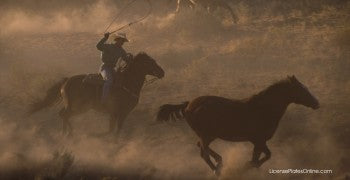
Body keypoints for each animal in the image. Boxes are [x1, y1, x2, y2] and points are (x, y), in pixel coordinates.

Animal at [29, 52, 164, 137]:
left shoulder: (115, 114)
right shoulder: (120, 113)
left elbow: (112, 130)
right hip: (79, 107)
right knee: (65, 115)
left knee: (62, 114)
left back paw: (65, 133)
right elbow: (114, 130)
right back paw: (70, 133)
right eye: (150, 62)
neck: (127, 82)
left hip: (71, 106)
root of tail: (66, 81)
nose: (162, 72)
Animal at [157, 76, 318, 176]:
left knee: (202, 148)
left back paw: (220, 162)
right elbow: (258, 159)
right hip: (207, 135)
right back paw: (217, 170)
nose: (316, 103)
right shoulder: (258, 140)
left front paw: (248, 166)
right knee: (204, 153)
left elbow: (264, 156)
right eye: (301, 89)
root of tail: (188, 104)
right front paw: (244, 168)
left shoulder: (260, 141)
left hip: (207, 135)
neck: (263, 109)